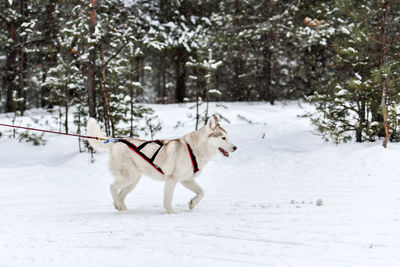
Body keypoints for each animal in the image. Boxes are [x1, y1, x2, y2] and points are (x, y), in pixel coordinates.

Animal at [87, 116, 236, 215]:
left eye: (228, 137)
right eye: (223, 138)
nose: (235, 147)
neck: (193, 149)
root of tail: (115, 142)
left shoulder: (187, 180)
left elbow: (202, 192)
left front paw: (192, 203)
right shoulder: (172, 180)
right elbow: (168, 200)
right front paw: (171, 213)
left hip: (133, 180)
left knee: (121, 194)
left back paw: (121, 208)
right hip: (129, 177)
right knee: (112, 187)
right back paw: (118, 204)